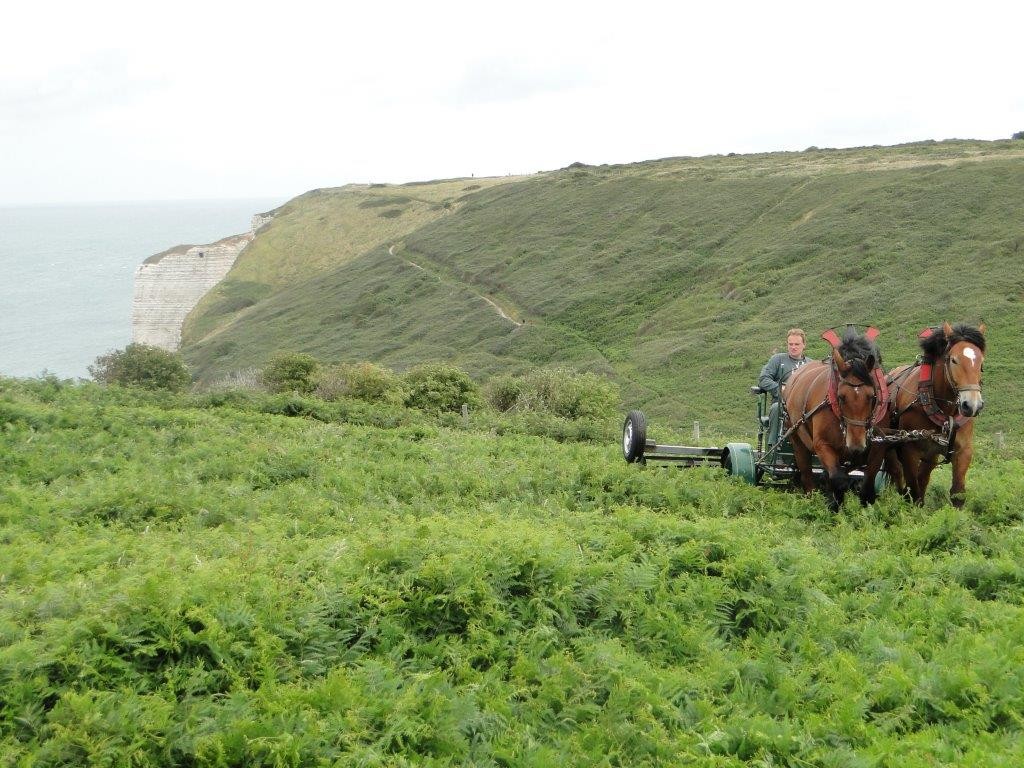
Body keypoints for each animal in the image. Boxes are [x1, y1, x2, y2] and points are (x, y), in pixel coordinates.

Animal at [782, 327, 888, 514]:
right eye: (841, 397)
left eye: (872, 396)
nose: (856, 445)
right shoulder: (822, 445)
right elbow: (838, 479)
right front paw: (835, 509)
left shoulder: (878, 447)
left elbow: (868, 483)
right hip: (797, 439)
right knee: (807, 474)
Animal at [864, 321, 983, 507]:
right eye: (954, 360)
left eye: (981, 361)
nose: (972, 405)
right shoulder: (909, 450)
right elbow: (914, 492)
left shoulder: (963, 450)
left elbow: (957, 494)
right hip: (886, 443)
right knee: (898, 473)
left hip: (930, 454)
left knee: (923, 477)